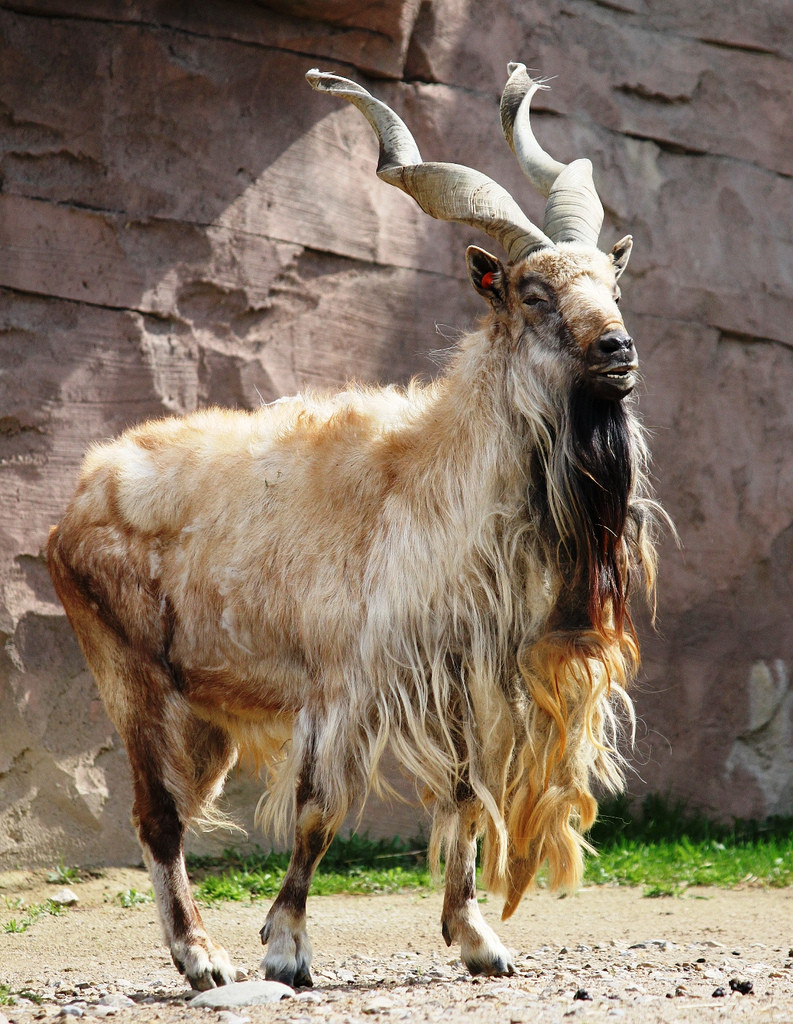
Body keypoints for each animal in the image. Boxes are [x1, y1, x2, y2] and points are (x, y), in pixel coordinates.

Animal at [47, 63, 664, 989]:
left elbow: (464, 799)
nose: (617, 349)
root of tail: (80, 495)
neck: (432, 482)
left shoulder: (454, 684)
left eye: (612, 284)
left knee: (172, 814)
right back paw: (202, 960)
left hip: (206, 714)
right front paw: (285, 950)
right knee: (157, 817)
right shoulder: (343, 687)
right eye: (533, 290)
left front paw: (478, 941)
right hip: (133, 681)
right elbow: (317, 812)